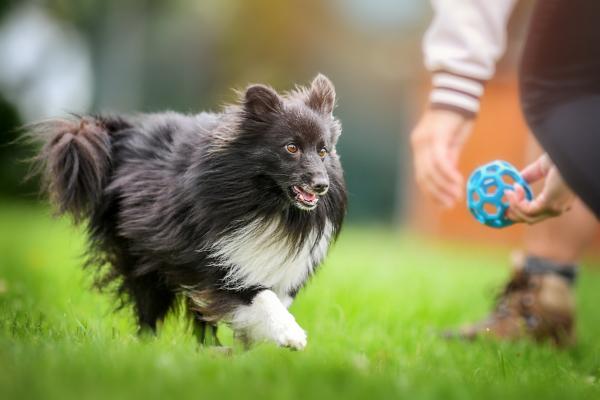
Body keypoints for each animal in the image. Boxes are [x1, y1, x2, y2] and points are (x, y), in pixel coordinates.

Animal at [29, 75, 346, 350]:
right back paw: (151, 346)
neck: (269, 205)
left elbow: (266, 303)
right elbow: (261, 298)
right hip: (144, 260)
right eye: (291, 148)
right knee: (149, 308)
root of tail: (124, 132)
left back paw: (211, 350)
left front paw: (250, 351)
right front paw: (291, 334)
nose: (321, 185)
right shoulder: (217, 263)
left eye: (323, 151)